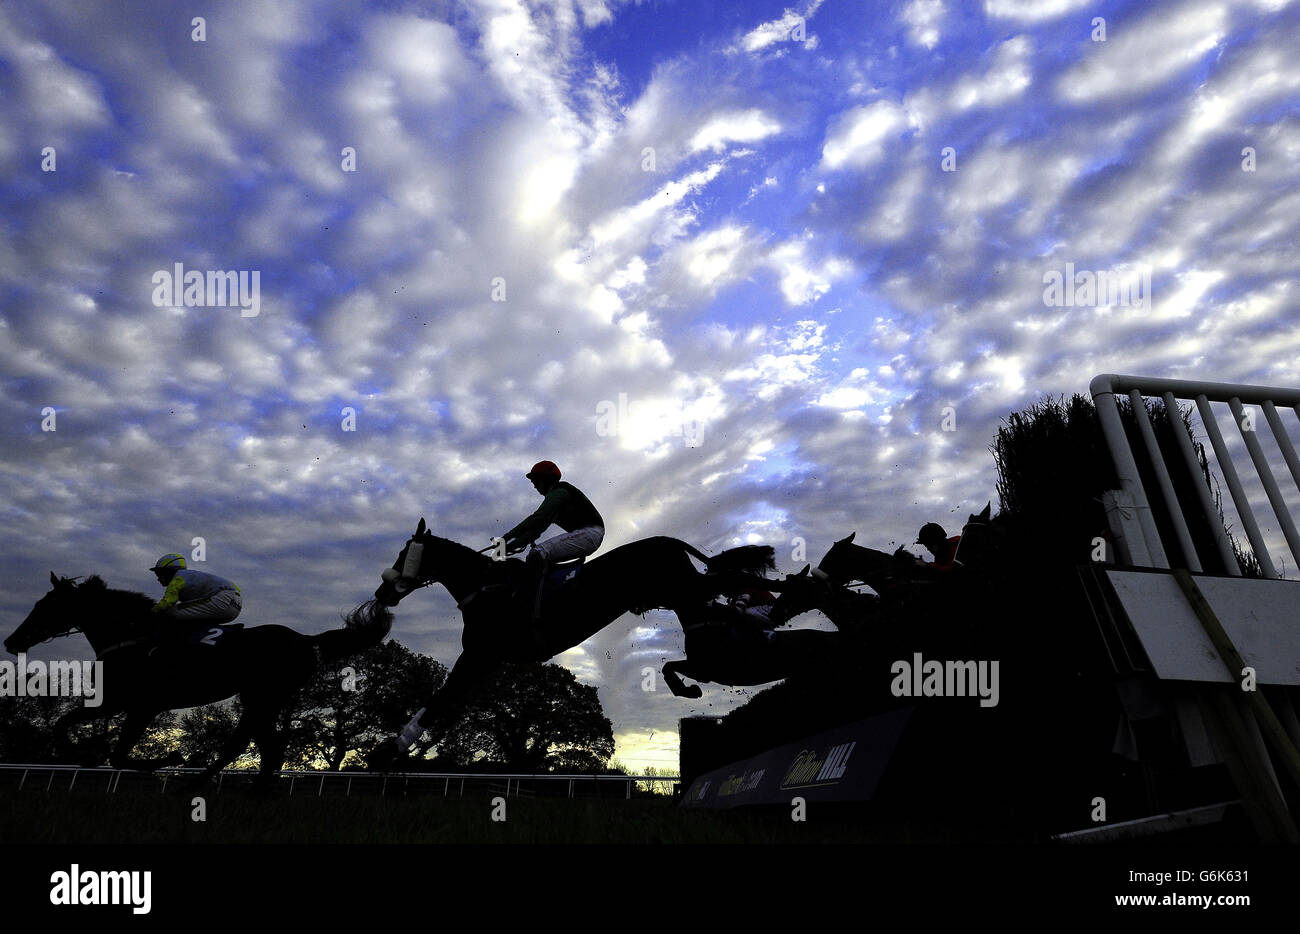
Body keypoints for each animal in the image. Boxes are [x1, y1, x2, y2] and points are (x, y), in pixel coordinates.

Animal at [5, 574, 390, 785]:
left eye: (45, 606)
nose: (11, 641)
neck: (133, 637)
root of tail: (307, 640)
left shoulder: (136, 705)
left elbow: (116, 754)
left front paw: (168, 759)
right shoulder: (118, 704)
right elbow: (70, 729)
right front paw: (87, 756)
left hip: (263, 695)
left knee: (248, 744)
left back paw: (193, 787)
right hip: (262, 698)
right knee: (266, 747)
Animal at [366, 520, 780, 759]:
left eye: (404, 553)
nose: (382, 591)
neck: (486, 589)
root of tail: (667, 540)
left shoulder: (480, 653)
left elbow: (441, 699)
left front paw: (388, 751)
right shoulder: (486, 660)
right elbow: (447, 703)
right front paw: (397, 747)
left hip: (683, 589)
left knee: (734, 583)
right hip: (678, 595)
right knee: (722, 598)